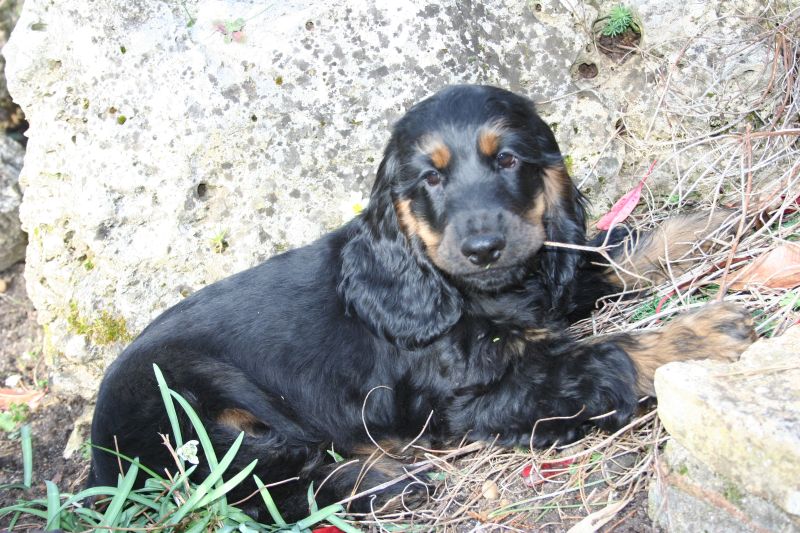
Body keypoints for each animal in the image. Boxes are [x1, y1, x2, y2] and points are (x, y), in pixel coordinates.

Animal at [89, 85, 756, 516]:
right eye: (430, 178)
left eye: (507, 159)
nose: (484, 247)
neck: (464, 289)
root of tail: (97, 463)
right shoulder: (477, 398)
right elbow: (605, 354)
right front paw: (702, 334)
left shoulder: (544, 277)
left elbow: (605, 255)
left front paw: (702, 229)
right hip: (188, 407)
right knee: (266, 481)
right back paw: (385, 481)